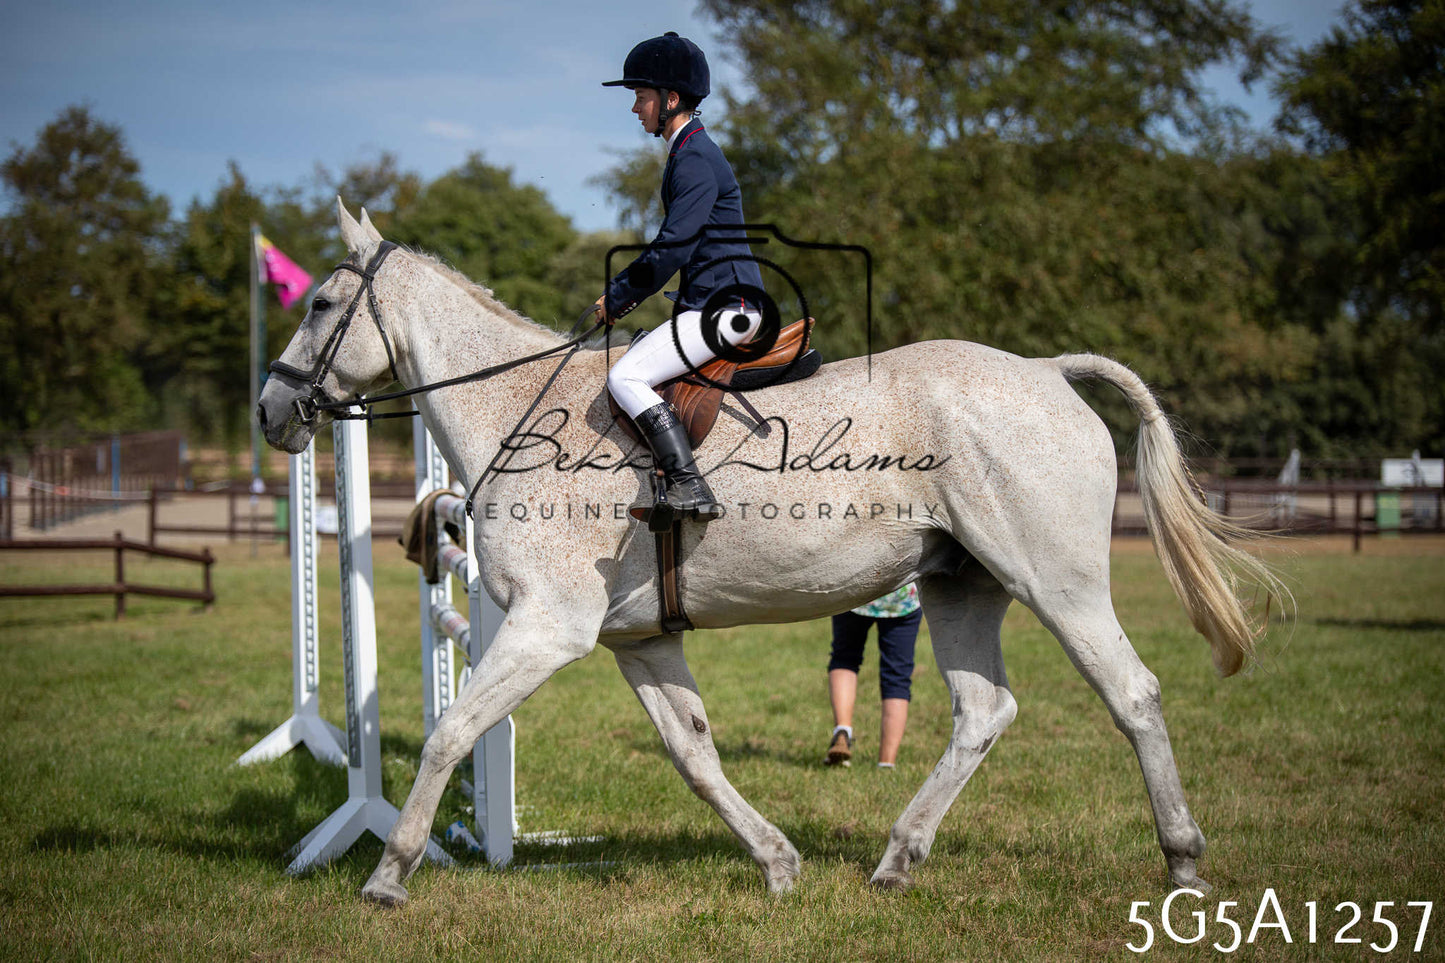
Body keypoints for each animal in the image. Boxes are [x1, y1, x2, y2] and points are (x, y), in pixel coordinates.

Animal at [257, 200, 1279, 907]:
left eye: (320, 304)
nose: (271, 412)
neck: (515, 408)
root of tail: (1044, 370)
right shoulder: (639, 639)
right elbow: (694, 753)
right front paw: (779, 864)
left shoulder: (547, 629)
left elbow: (450, 733)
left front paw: (388, 874)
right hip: (961, 585)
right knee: (983, 711)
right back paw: (896, 860)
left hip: (1055, 582)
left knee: (1131, 693)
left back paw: (1182, 864)